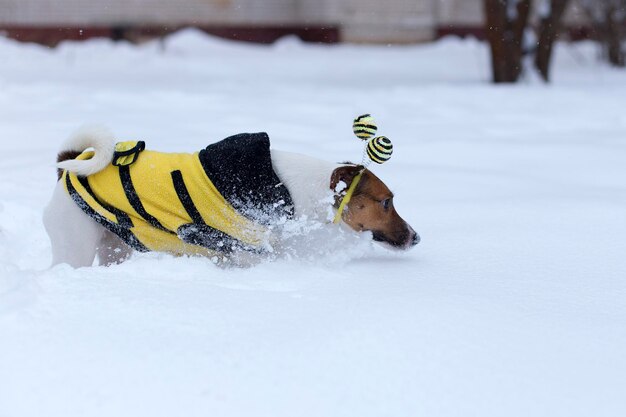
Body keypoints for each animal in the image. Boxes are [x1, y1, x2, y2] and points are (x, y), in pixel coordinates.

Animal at [42, 125, 414, 266]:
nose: (417, 237)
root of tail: (68, 171)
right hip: (74, 247)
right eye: (386, 202)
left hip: (115, 246)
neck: (291, 191)